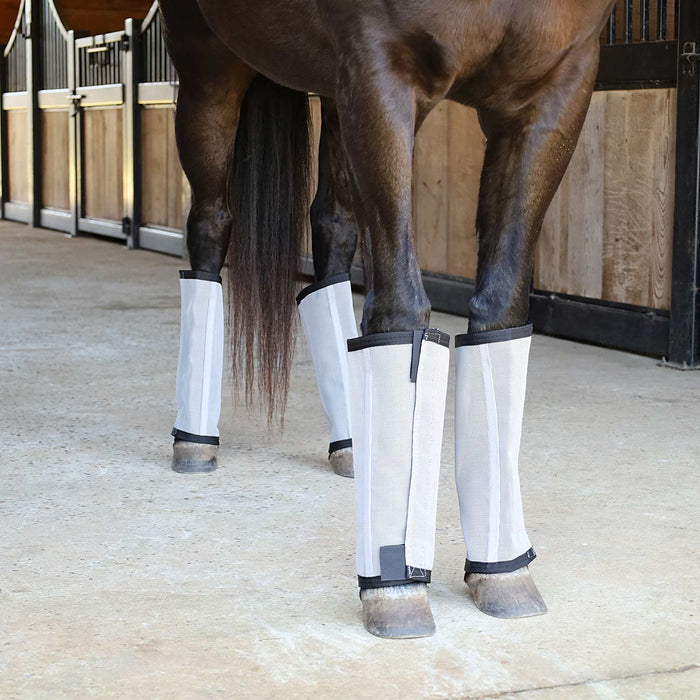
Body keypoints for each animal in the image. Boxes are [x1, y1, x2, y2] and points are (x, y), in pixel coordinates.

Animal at [160, 0, 615, 638]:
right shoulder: (381, 74)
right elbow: (400, 308)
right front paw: (395, 587)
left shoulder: (555, 87)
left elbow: (499, 311)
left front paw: (503, 572)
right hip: (210, 70)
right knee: (209, 227)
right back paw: (195, 443)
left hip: (331, 90)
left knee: (332, 232)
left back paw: (352, 440)